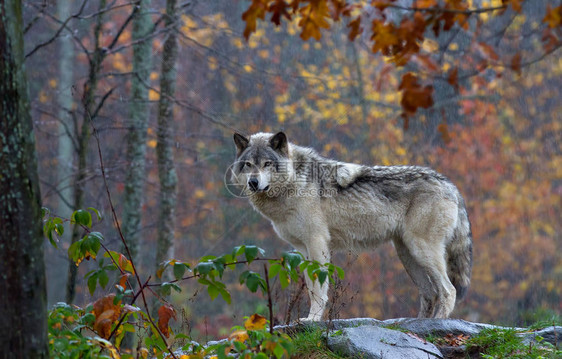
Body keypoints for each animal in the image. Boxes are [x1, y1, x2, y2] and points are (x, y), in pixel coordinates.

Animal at [228, 131, 468, 320]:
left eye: (267, 164)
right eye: (248, 165)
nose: (253, 182)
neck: (295, 182)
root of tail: (451, 185)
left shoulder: (317, 243)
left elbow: (319, 289)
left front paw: (313, 320)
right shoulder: (302, 248)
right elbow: (311, 288)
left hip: (421, 250)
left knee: (449, 291)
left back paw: (437, 323)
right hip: (407, 255)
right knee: (430, 293)